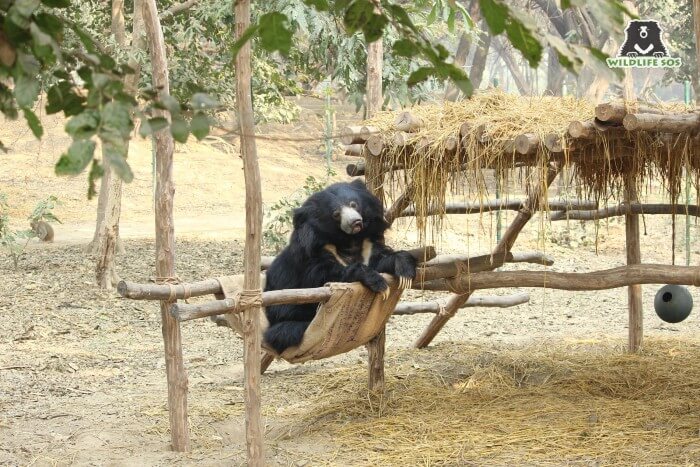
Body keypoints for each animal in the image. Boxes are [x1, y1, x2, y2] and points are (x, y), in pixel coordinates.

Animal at [262, 180, 416, 354]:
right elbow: (326, 277)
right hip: (282, 311)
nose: (356, 222)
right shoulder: (314, 255)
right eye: (336, 214)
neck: (349, 240)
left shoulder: (367, 244)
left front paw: (404, 269)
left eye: (354, 204)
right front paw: (377, 282)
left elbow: (380, 260)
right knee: (286, 331)